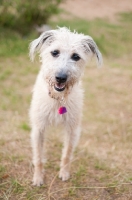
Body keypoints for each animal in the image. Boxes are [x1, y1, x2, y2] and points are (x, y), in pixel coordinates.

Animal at [29, 27, 102, 186]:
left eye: (76, 56)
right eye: (55, 52)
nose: (61, 77)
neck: (59, 99)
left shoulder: (72, 129)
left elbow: (67, 153)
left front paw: (64, 173)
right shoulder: (38, 129)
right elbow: (38, 156)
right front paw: (38, 177)